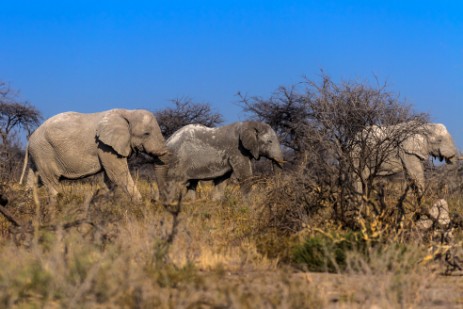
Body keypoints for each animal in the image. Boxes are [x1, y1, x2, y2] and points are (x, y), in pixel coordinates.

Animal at [22, 108, 170, 200]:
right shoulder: (104, 145)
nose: (157, 202)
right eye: (146, 134)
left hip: (38, 154)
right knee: (52, 183)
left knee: (33, 180)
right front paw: (138, 204)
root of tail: (30, 139)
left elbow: (109, 178)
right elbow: (118, 175)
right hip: (44, 152)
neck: (128, 112)